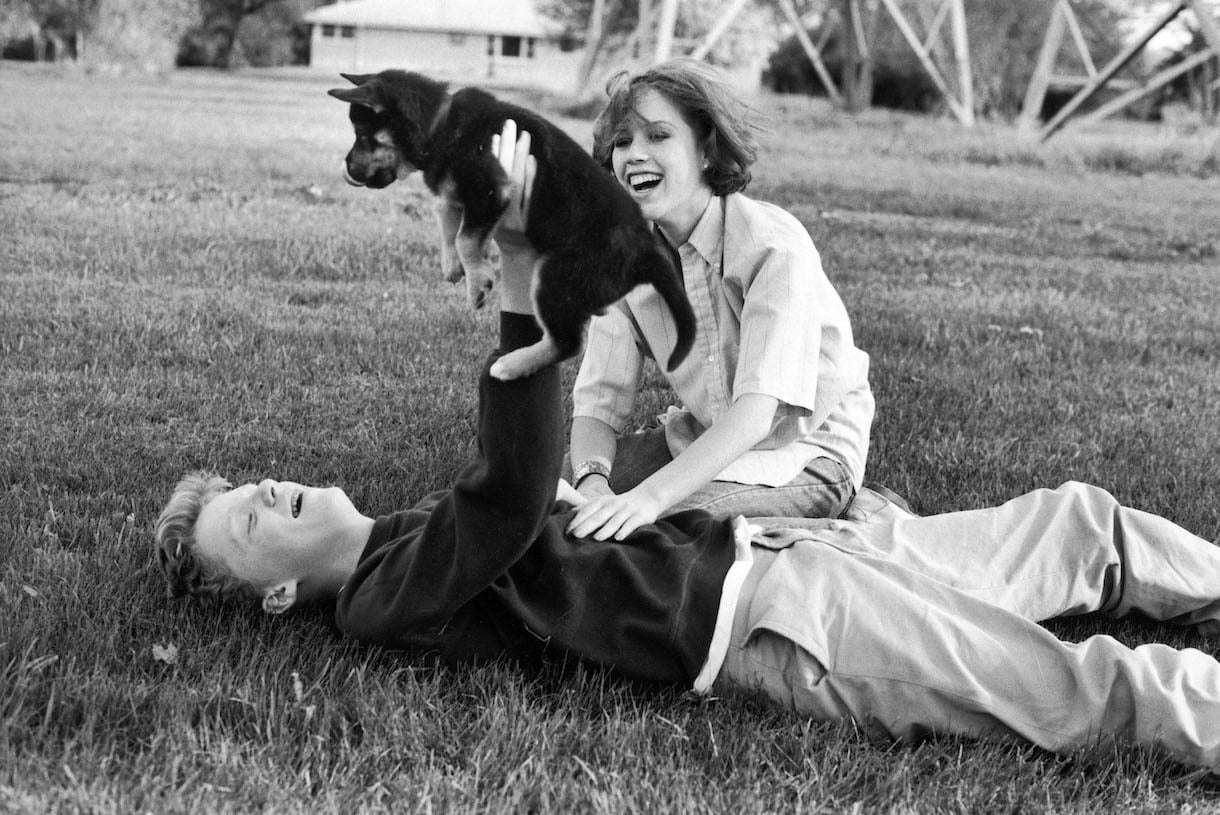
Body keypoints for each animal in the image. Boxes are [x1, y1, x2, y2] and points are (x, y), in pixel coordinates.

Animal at [329, 68, 697, 380]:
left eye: (363, 136)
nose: (347, 169)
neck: (439, 125)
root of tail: (645, 251)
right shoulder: (458, 192)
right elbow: (445, 216)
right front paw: (452, 266)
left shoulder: (489, 188)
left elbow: (465, 237)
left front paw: (477, 281)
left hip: (557, 277)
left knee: (567, 343)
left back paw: (511, 364)